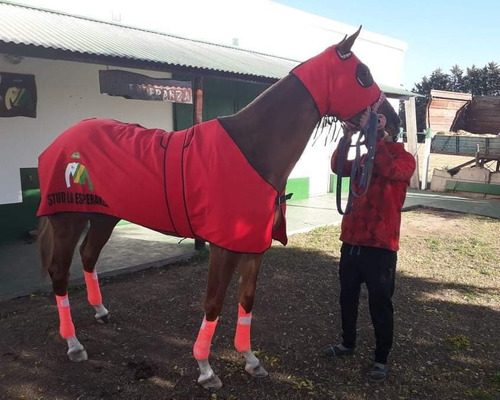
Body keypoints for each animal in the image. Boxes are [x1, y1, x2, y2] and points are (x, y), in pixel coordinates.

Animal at [37, 28, 400, 390]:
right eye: (363, 74)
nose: (394, 122)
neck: (253, 150)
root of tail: (60, 141)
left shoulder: (253, 246)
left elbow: (246, 300)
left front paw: (250, 360)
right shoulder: (223, 247)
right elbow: (213, 303)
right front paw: (205, 368)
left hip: (104, 217)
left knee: (88, 256)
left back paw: (100, 312)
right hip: (68, 219)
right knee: (59, 272)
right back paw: (73, 344)